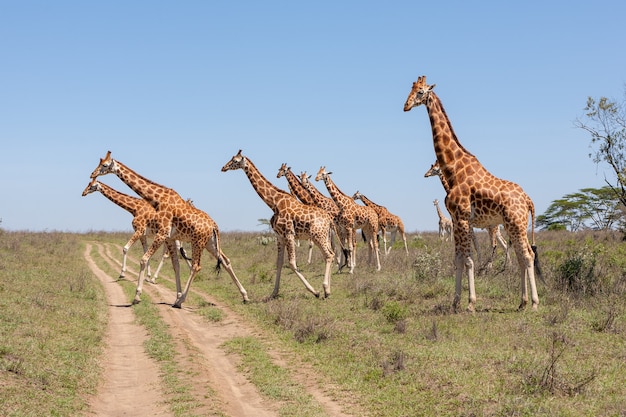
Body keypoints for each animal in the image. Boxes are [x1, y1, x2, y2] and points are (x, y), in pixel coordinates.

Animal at [88, 150, 249, 306]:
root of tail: (214, 225)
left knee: (196, 266)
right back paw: (245, 296)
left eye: (104, 165)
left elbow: (143, 259)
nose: (92, 174)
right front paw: (175, 294)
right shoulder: (169, 238)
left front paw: (137, 296)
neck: (157, 199)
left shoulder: (160, 233)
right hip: (210, 243)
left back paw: (181, 300)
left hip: (198, 242)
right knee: (225, 261)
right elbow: (175, 265)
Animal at [221, 150, 336, 300]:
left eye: (235, 160)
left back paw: (325, 289)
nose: (223, 167)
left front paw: (314, 291)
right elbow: (279, 263)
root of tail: (329, 219)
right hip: (324, 236)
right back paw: (329, 289)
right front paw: (273, 293)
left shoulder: (289, 234)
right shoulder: (280, 236)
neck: (273, 203)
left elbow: (292, 264)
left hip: (318, 236)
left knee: (328, 255)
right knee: (331, 254)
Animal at [402, 75, 540, 310]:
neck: (453, 170)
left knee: (528, 255)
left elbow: (468, 260)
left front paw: (470, 303)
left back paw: (534, 303)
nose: (406, 106)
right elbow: (457, 259)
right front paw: (455, 302)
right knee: (522, 256)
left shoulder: (463, 218)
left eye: (420, 91)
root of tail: (528, 199)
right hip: (512, 225)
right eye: (410, 90)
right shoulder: (457, 220)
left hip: (516, 223)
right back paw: (522, 302)